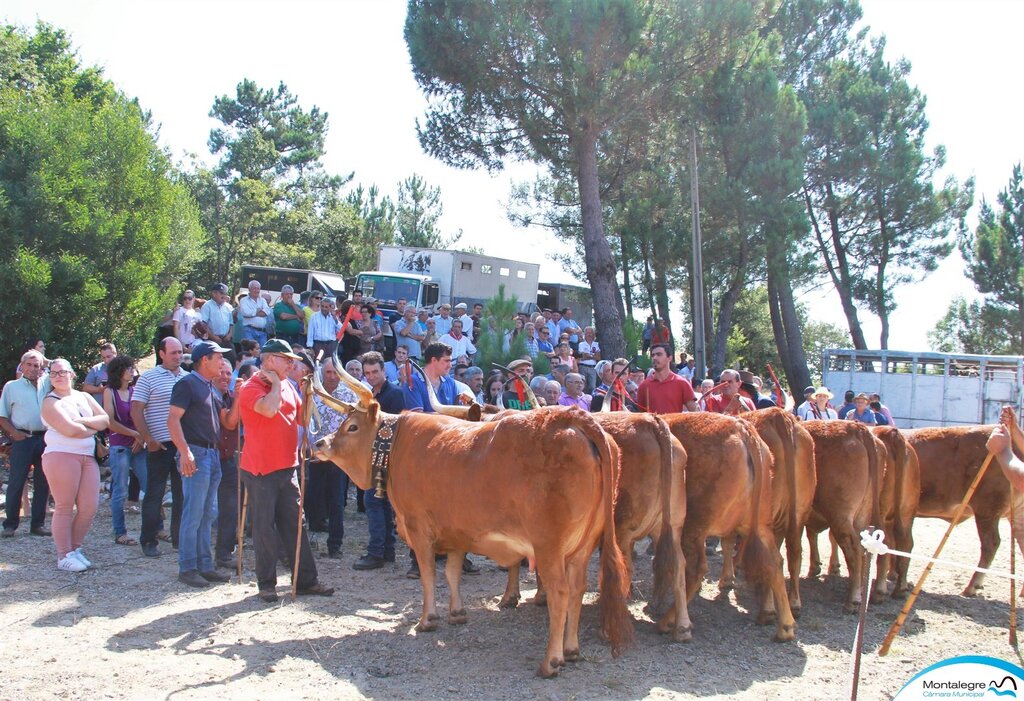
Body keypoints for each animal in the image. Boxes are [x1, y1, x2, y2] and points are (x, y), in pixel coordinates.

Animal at [307, 352, 634, 675]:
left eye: (352, 426)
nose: (319, 443)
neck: (400, 443)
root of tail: (570, 417)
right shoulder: (456, 531)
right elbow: (452, 572)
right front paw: (457, 612)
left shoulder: (418, 527)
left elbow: (428, 574)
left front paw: (427, 619)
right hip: (583, 545)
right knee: (578, 589)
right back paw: (571, 649)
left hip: (550, 546)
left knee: (560, 592)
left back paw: (551, 661)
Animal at [659, 413, 794, 642]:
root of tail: (742, 430)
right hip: (761, 525)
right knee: (774, 562)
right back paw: (784, 626)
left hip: (694, 526)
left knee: (694, 569)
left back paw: (672, 621)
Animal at [802, 417, 884, 609]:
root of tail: (856, 428)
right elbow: (811, 535)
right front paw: (815, 567)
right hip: (862, 514)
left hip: (840, 515)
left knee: (853, 548)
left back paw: (853, 600)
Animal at [872, 421, 921, 597]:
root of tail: (890, 432)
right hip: (907, 510)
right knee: (906, 541)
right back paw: (900, 588)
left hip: (879, 511)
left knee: (883, 542)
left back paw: (879, 591)